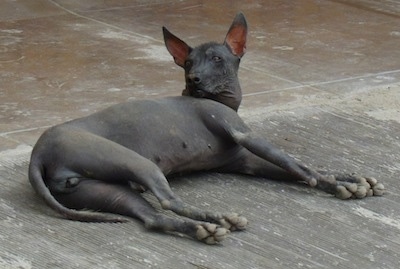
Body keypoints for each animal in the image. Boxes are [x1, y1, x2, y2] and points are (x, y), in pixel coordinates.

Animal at [28, 12, 384, 243]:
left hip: (102, 190)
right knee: (168, 202)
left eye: (216, 59)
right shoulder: (245, 135)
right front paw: (335, 185)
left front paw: (351, 178)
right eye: (187, 62)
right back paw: (217, 219)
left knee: (152, 217)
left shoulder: (246, 160)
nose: (194, 78)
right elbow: (299, 165)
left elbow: (296, 166)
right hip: (133, 161)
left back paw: (204, 228)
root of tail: (38, 155)